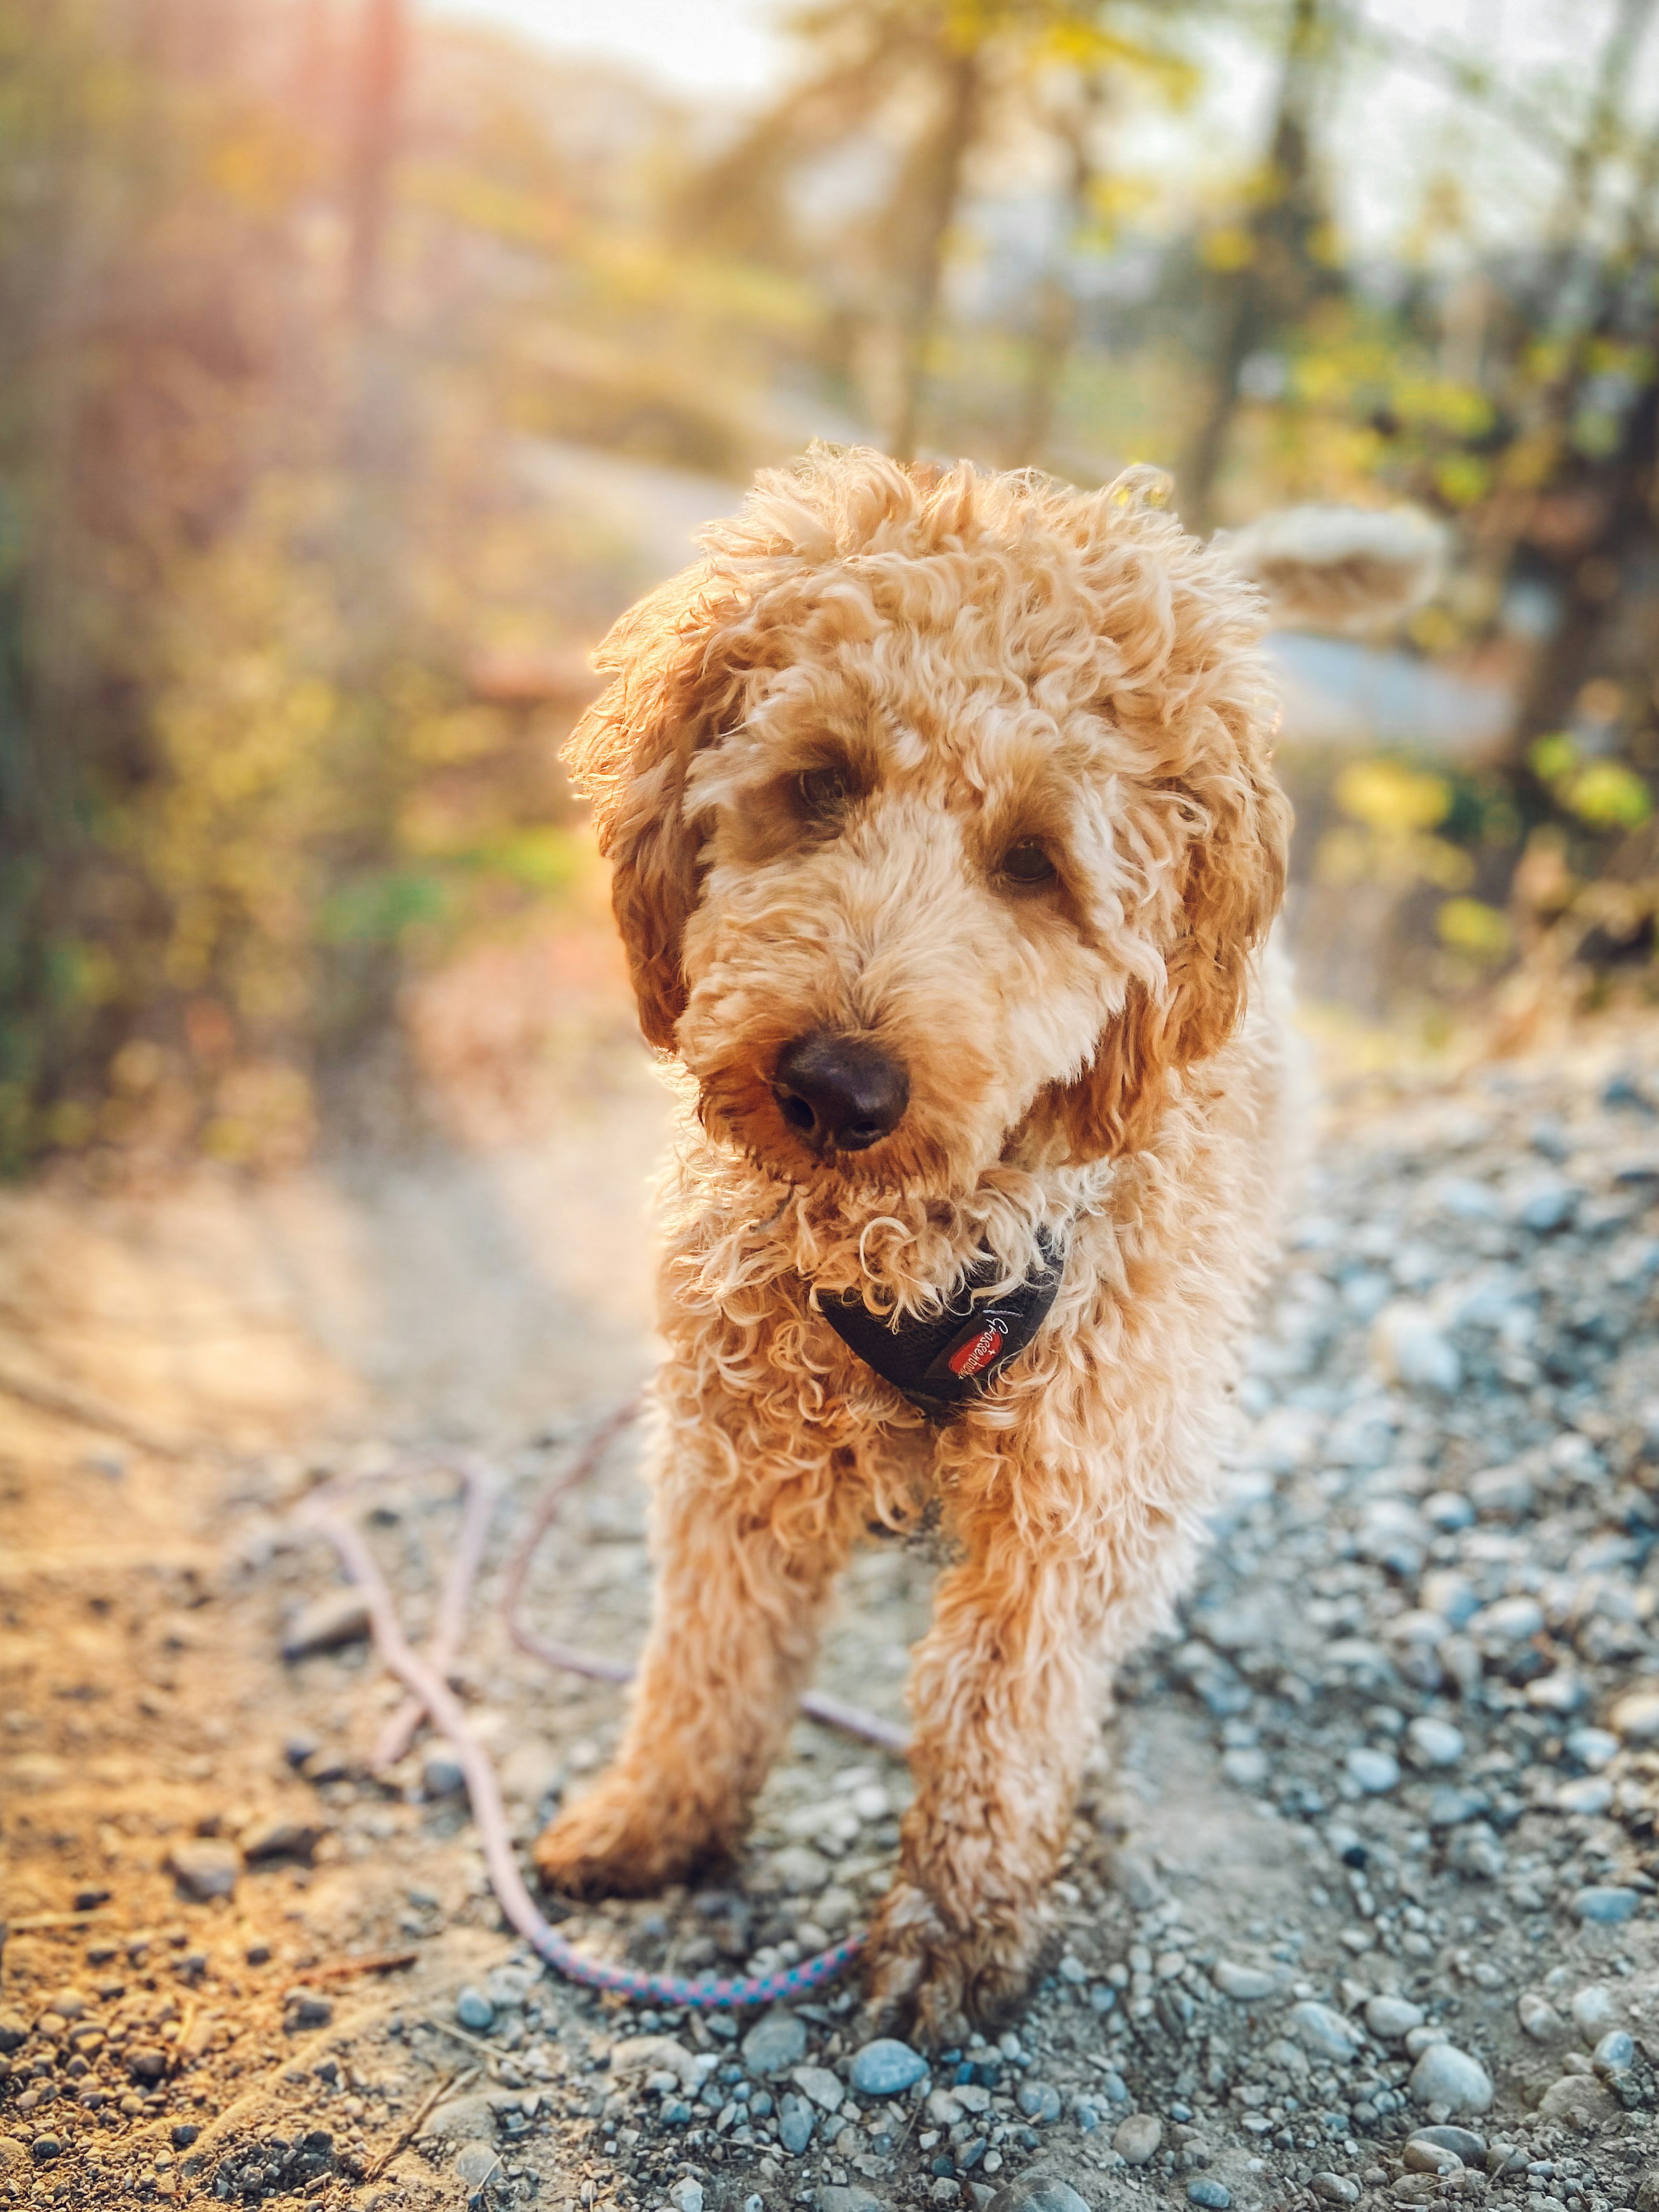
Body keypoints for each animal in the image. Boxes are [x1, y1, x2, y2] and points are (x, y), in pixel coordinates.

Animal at [535, 448, 1442, 2035]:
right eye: (819, 782)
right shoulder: (733, 1452)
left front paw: (952, 1923)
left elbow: (1000, 1706)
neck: (920, 1240)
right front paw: (657, 1819)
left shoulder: (1067, 1491)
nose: (835, 1087)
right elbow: (710, 1653)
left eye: (1034, 863)